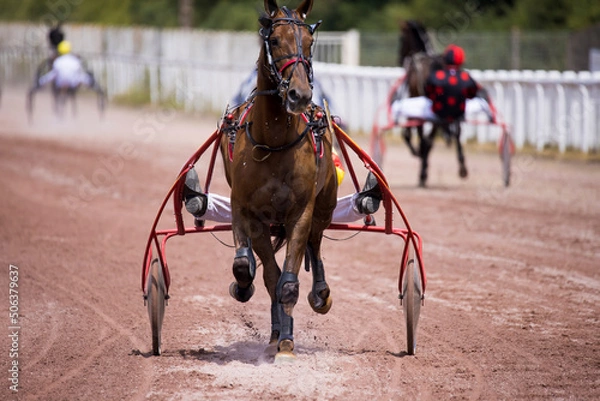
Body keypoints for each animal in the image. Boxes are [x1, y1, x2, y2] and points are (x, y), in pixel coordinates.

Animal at [218, 0, 338, 360]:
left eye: (310, 43)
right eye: (274, 40)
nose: (300, 94)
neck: (272, 141)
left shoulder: (300, 212)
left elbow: (288, 282)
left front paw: (286, 340)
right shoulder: (248, 211)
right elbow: (256, 271)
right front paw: (245, 288)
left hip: (324, 207)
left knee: (315, 243)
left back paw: (320, 294)